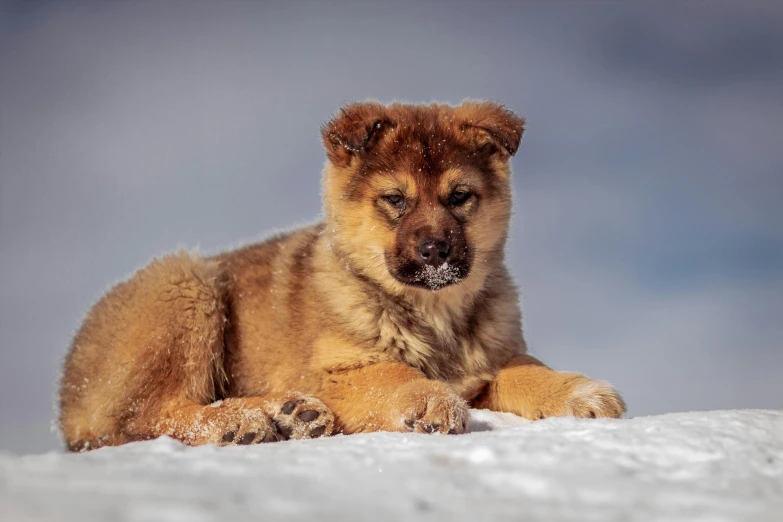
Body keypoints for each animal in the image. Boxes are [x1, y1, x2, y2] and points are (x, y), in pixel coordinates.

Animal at [58, 101, 628, 450]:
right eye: (395, 200)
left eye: (460, 197)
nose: (436, 252)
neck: (433, 315)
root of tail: (68, 397)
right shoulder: (334, 370)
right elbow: (392, 373)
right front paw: (428, 397)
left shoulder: (494, 360)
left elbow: (527, 371)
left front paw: (581, 393)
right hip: (187, 287)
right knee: (142, 415)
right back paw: (240, 421)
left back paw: (293, 415)